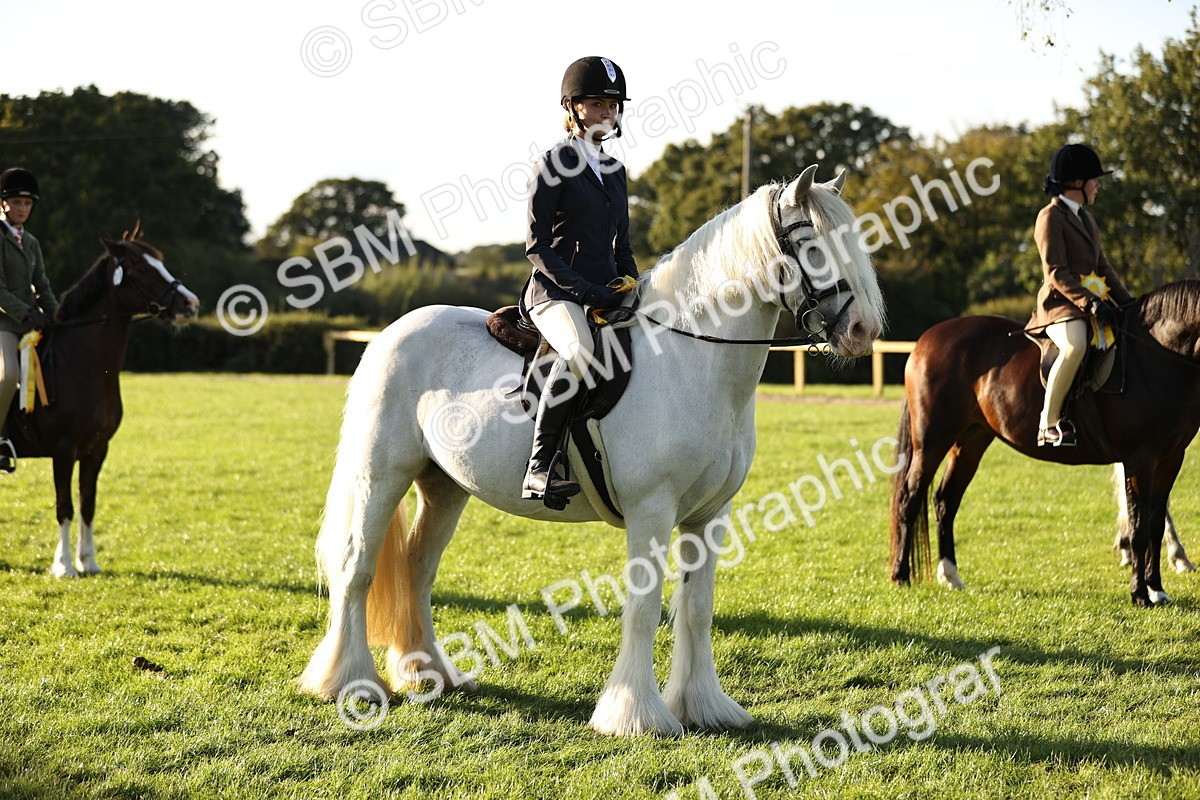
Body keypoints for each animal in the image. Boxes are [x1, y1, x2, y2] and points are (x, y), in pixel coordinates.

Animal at [6, 235, 198, 577]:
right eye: (141, 268)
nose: (191, 304)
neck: (82, 363)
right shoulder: (63, 451)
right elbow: (65, 506)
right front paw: (65, 566)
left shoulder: (96, 450)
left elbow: (88, 504)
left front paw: (88, 561)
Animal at [297, 165, 887, 736]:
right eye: (811, 243)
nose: (862, 330)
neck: (691, 358)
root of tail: (391, 332)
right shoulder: (652, 510)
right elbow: (644, 610)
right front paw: (635, 715)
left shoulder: (709, 514)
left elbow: (696, 609)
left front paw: (704, 706)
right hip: (381, 476)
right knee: (356, 567)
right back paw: (347, 683)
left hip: (443, 486)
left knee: (418, 568)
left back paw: (428, 674)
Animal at [889, 281, 1200, 607]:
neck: (1157, 355)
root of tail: (926, 339)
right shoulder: (1139, 459)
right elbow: (1139, 526)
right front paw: (1139, 594)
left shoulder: (1170, 458)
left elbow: (1154, 523)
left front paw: (1157, 589)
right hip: (931, 442)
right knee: (910, 499)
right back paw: (901, 576)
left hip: (970, 441)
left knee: (945, 500)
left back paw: (950, 575)